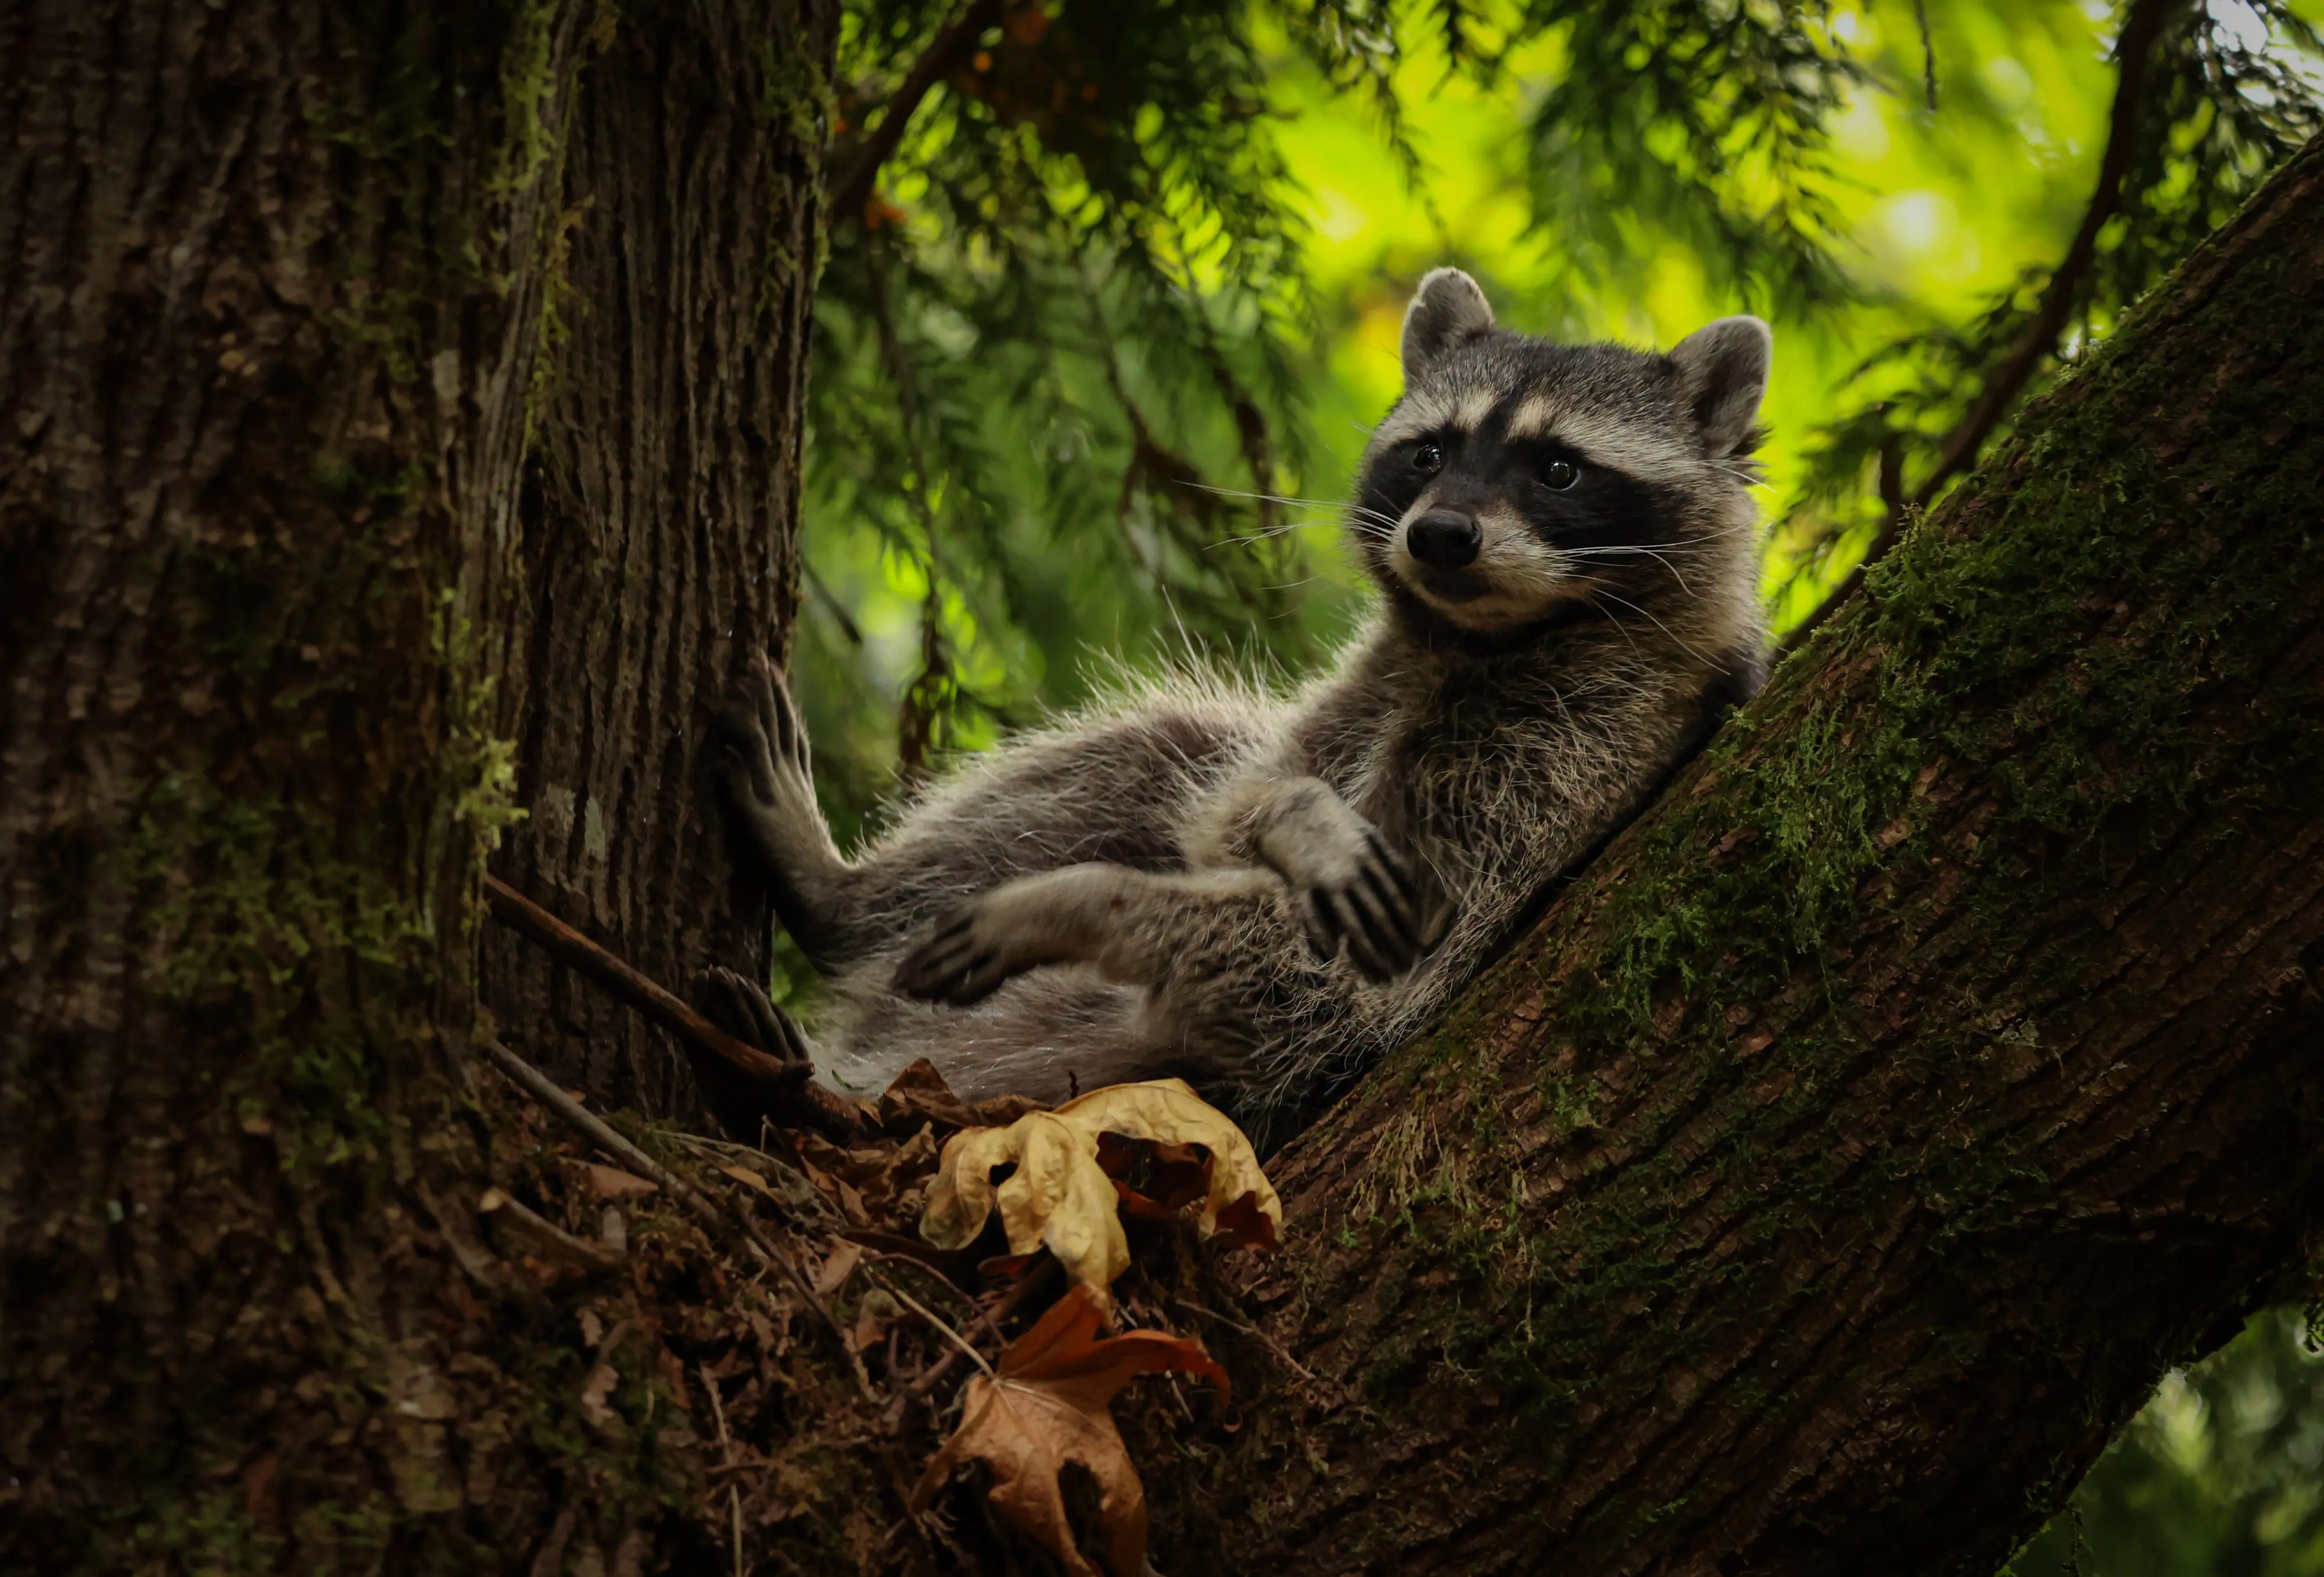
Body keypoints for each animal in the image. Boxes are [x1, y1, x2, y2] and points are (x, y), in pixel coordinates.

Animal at [710, 268, 1771, 1141]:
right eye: (1429, 454)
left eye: (1558, 468)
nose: (1440, 536)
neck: (1478, 638)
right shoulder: (1368, 687)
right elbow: (1232, 806)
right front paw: (1293, 814)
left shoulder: (1581, 744)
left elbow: (1330, 977)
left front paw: (1079, 901)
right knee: (1142, 754)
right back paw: (848, 902)